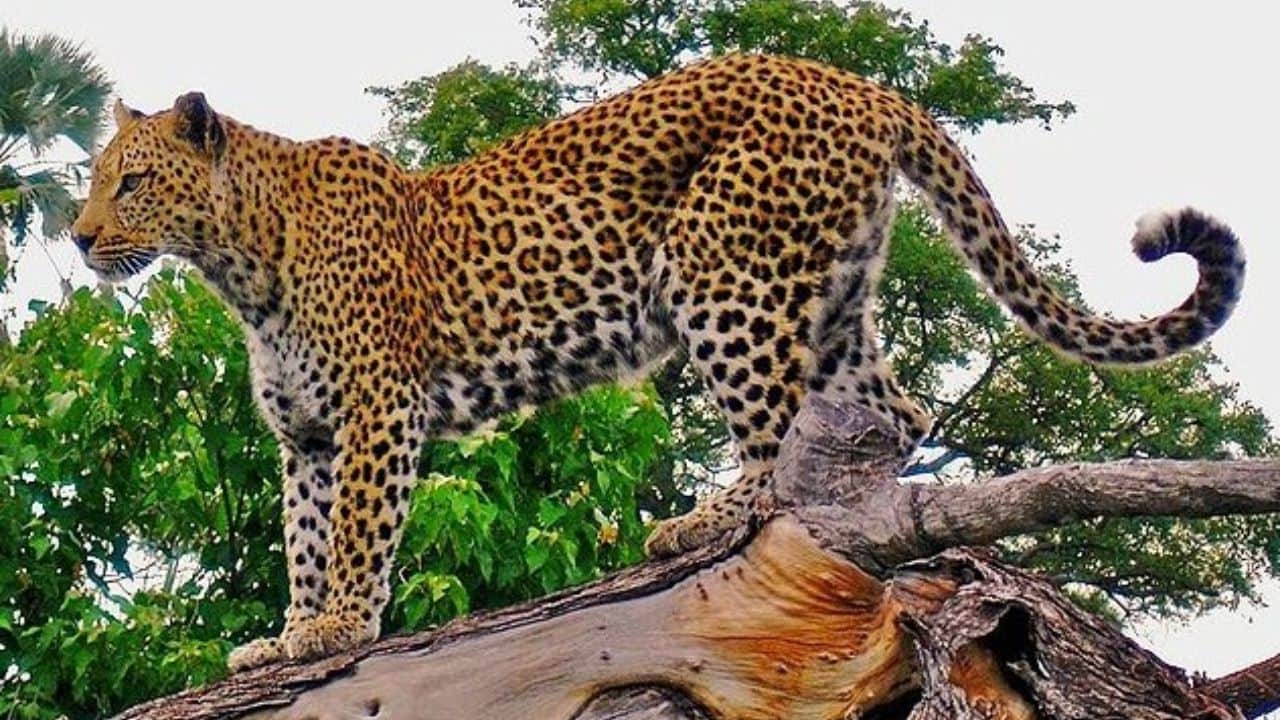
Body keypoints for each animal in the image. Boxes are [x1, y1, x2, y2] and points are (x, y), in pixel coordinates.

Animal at [71, 54, 1244, 671]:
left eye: (133, 182)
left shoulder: (374, 413)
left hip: (725, 277)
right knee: (893, 410)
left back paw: (707, 521)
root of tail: (856, 82)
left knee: (768, 436)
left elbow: (357, 533)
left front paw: (335, 630)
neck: (240, 261)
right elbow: (305, 539)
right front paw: (288, 636)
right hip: (829, 303)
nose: (79, 238)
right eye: (93, 178)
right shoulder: (307, 434)